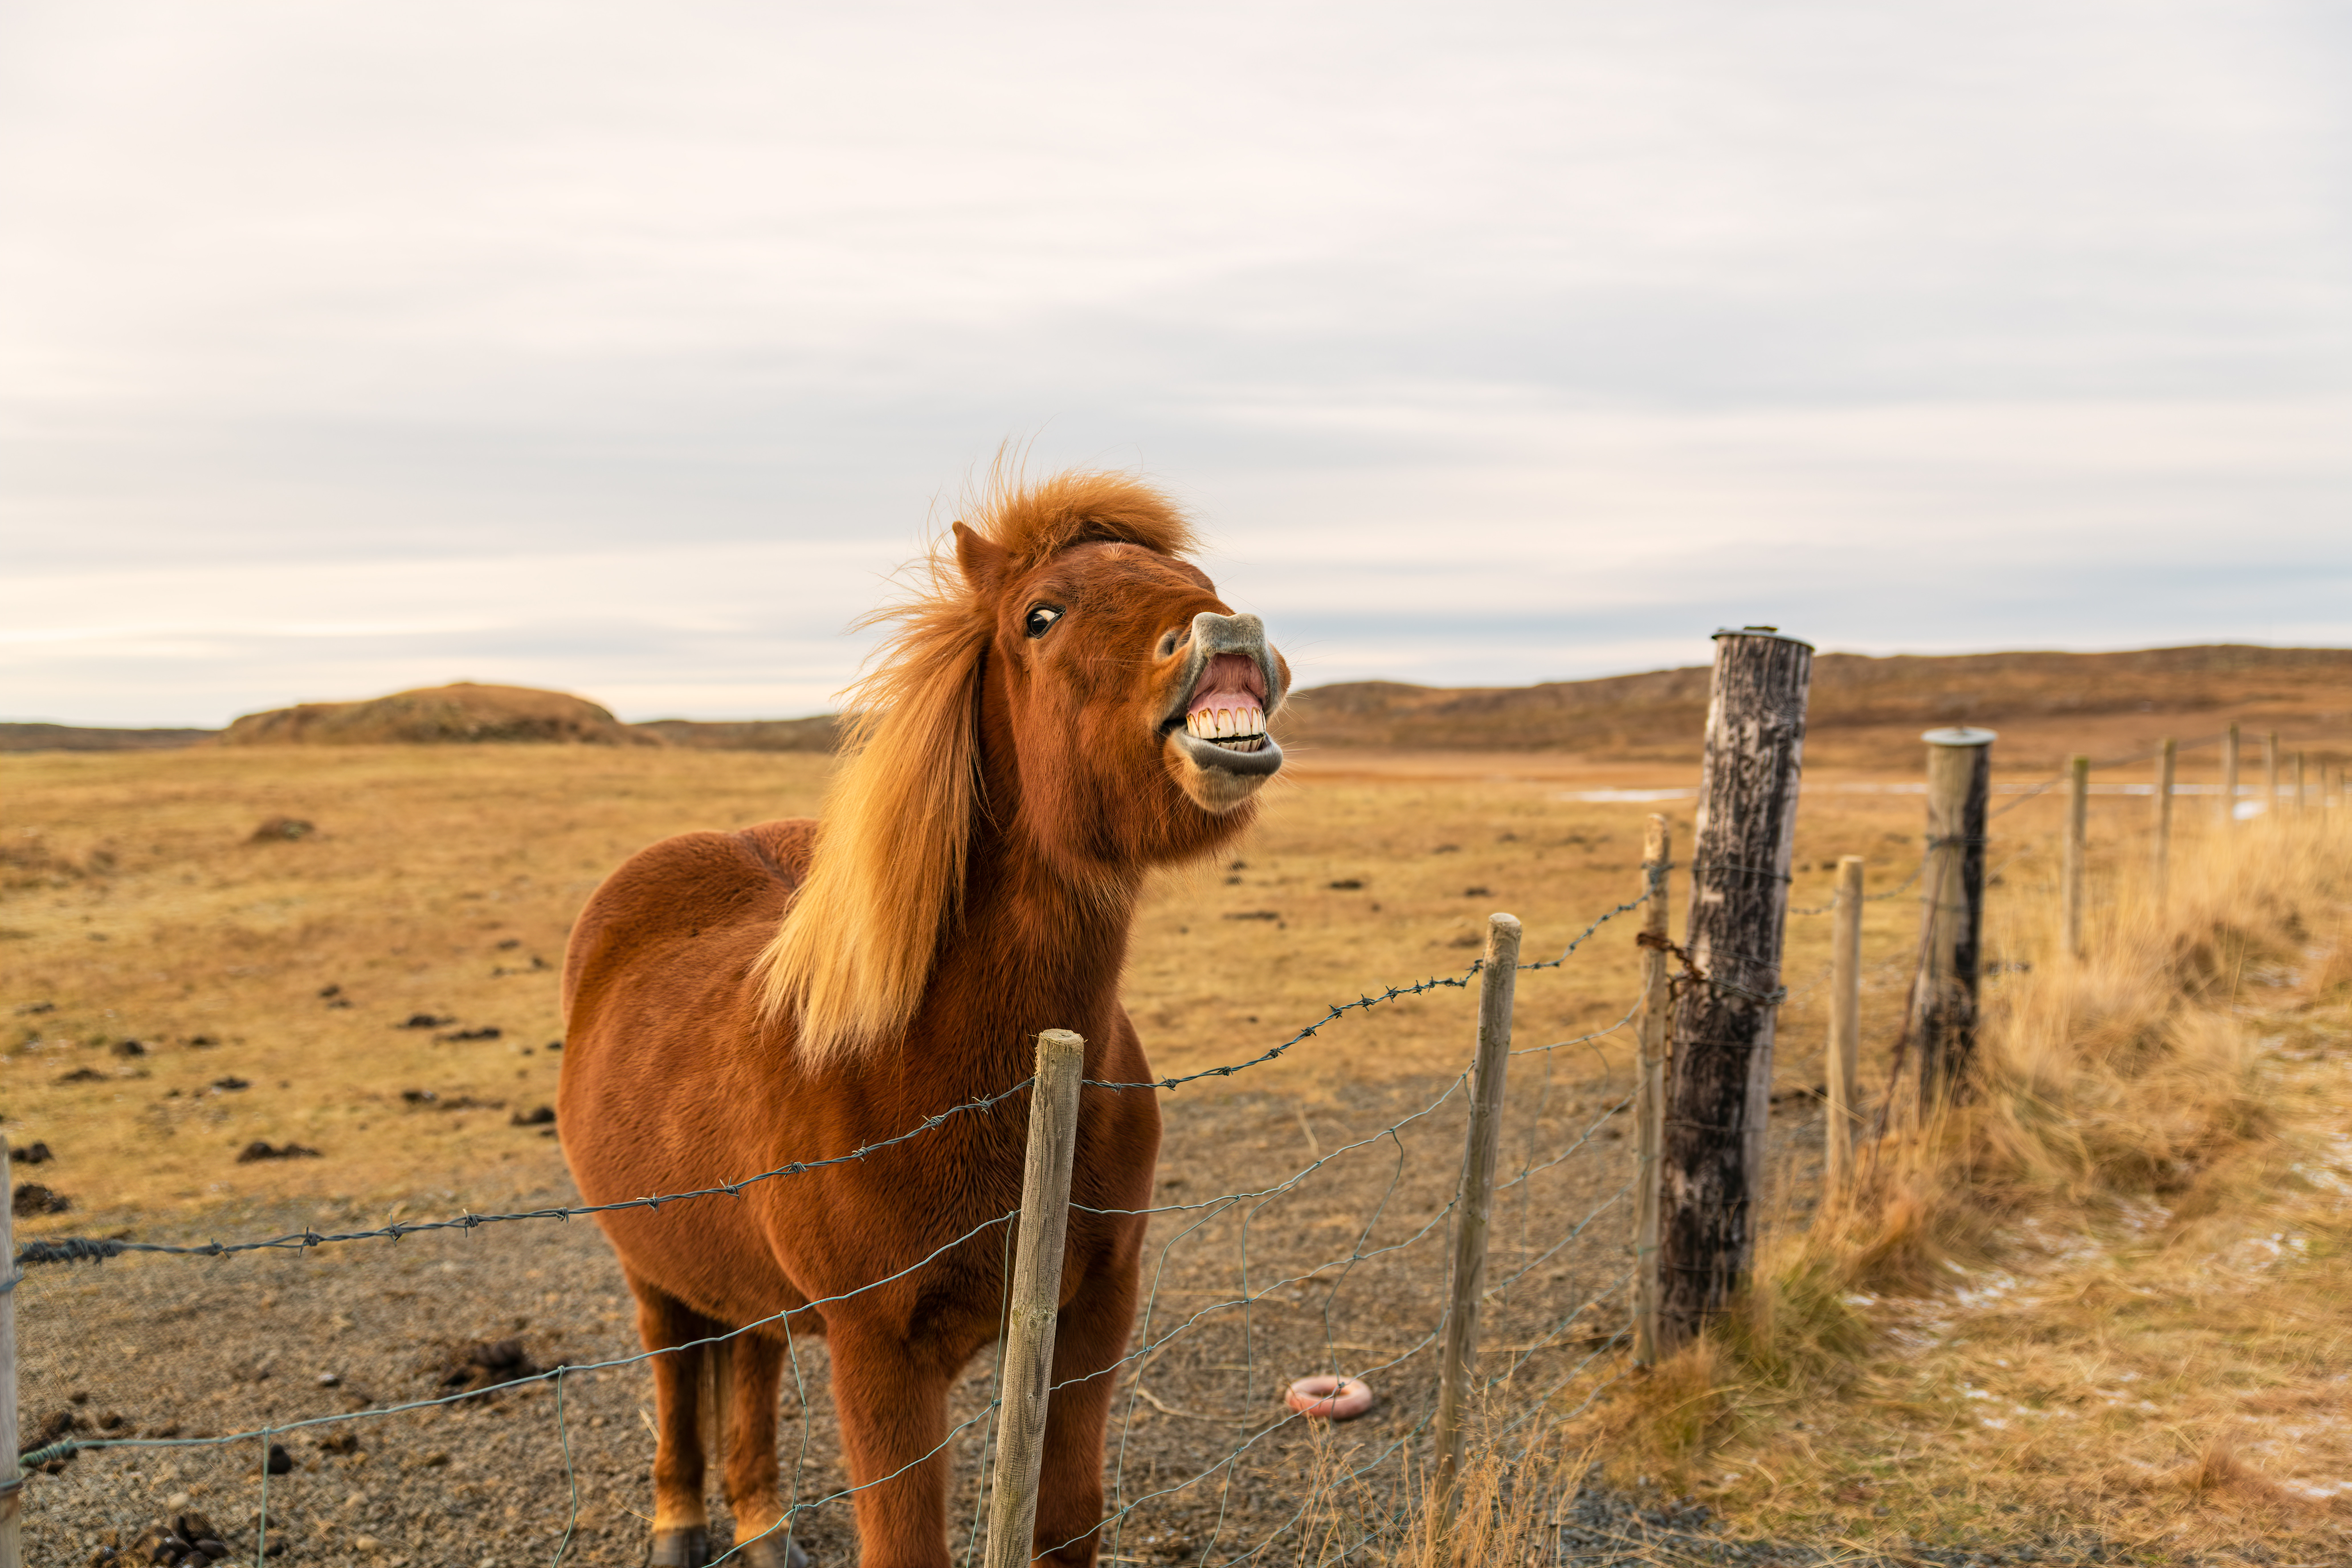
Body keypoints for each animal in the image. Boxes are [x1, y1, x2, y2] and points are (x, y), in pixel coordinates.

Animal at [558, 470, 1289, 1568]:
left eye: (1198, 576)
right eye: (1041, 615)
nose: (1228, 633)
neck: (943, 1070)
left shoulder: (1092, 1315)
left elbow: (1064, 1524)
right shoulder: (881, 1351)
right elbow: (905, 1542)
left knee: (750, 1359)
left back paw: (764, 1528)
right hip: (650, 1267)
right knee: (678, 1368)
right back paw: (679, 1526)